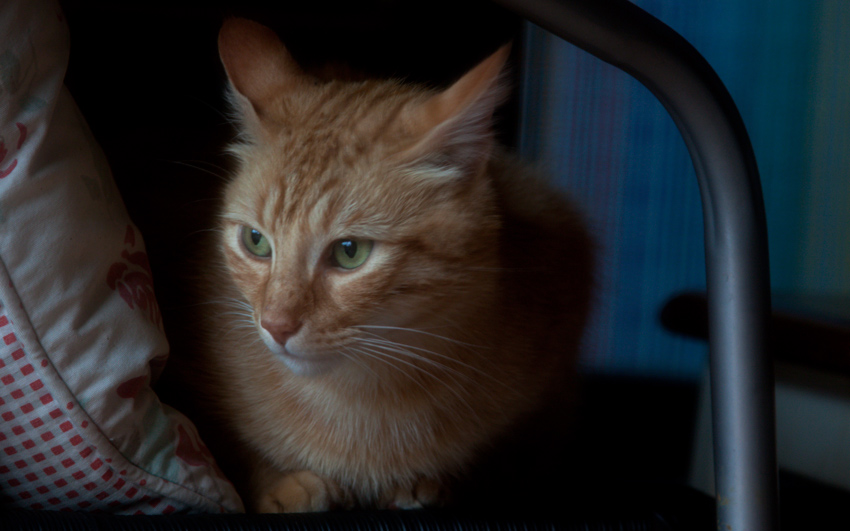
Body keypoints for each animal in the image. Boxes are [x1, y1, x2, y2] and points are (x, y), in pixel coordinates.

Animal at [187, 18, 588, 512]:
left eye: (349, 251)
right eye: (256, 241)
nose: (275, 326)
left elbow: (512, 457)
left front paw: (435, 482)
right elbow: (224, 446)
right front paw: (281, 486)